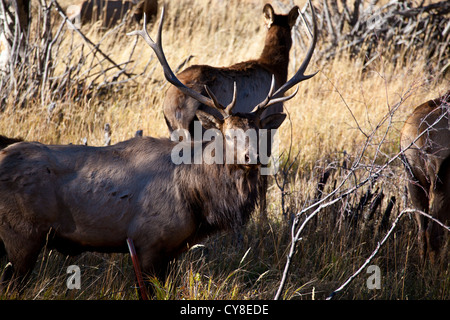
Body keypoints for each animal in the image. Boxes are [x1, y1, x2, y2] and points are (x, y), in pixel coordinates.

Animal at [0, 5, 316, 292]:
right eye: (227, 134)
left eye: (258, 131)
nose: (253, 157)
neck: (198, 199)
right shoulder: (148, 241)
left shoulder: (172, 250)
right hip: (21, 234)